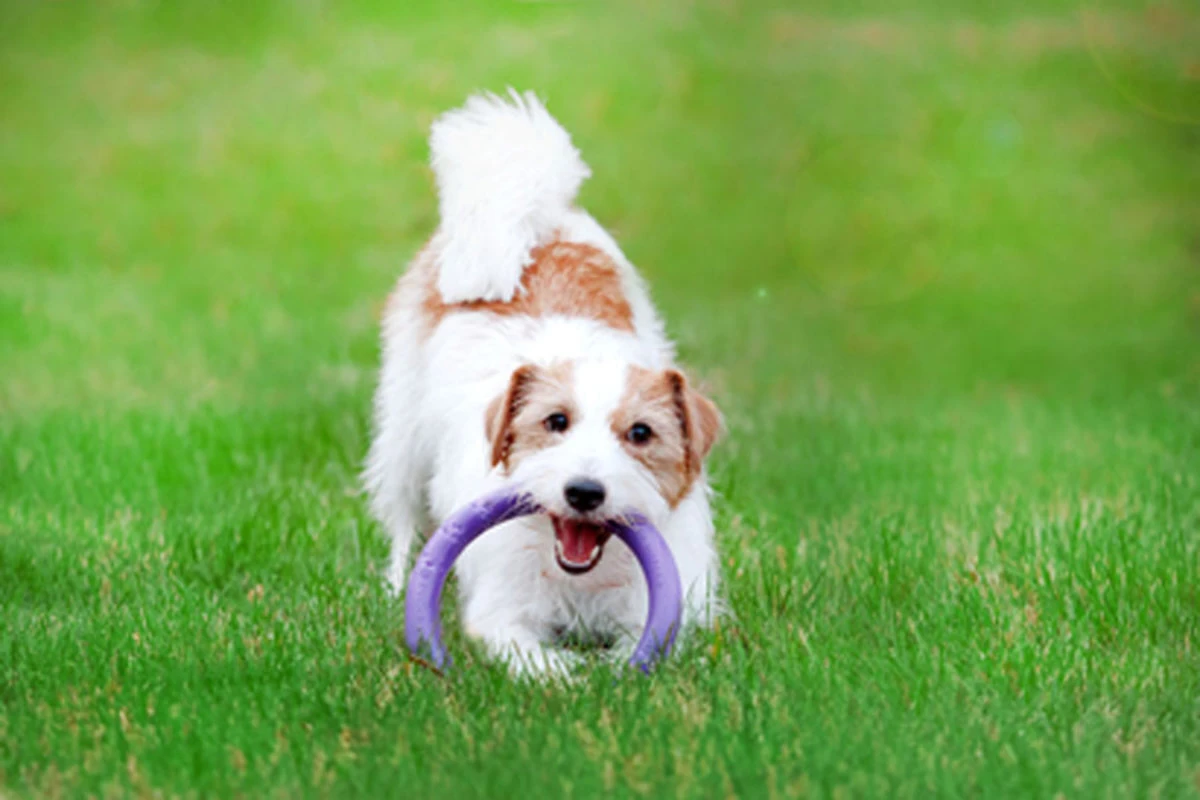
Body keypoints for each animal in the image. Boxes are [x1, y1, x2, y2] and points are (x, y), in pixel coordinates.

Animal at [364, 91, 723, 677]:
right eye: (556, 421)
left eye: (640, 433)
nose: (584, 492)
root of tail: (542, 216)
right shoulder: (503, 616)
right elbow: (542, 665)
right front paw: (575, 680)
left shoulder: (661, 613)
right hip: (403, 440)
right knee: (401, 517)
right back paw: (394, 584)